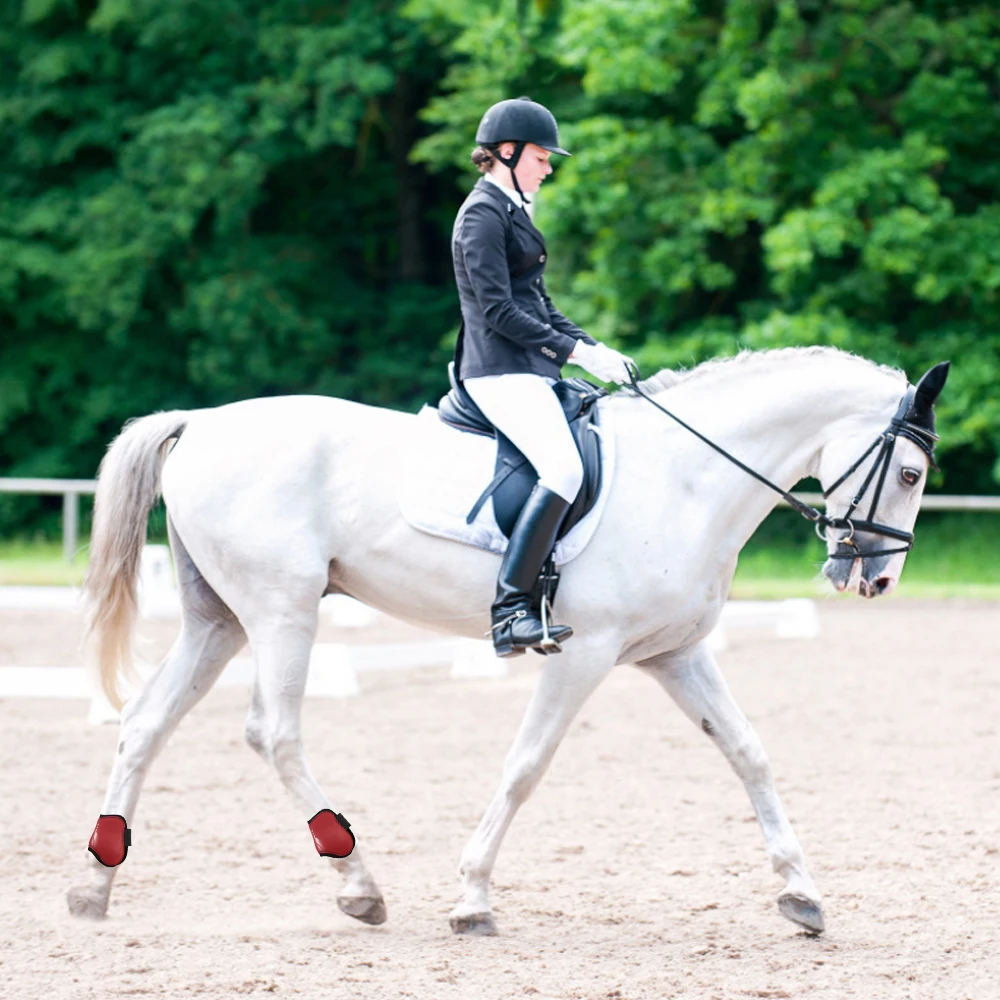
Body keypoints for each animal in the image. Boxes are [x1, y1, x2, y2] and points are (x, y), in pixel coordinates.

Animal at [68, 346, 944, 936]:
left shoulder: (674, 653)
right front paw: (472, 897)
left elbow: (748, 751)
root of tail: (202, 423)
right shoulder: (584, 652)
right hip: (282, 610)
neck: (686, 479)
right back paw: (357, 883)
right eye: (907, 474)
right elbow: (526, 765)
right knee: (272, 731)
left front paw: (801, 893)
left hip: (217, 619)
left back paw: (94, 884)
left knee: (145, 723)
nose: (874, 579)